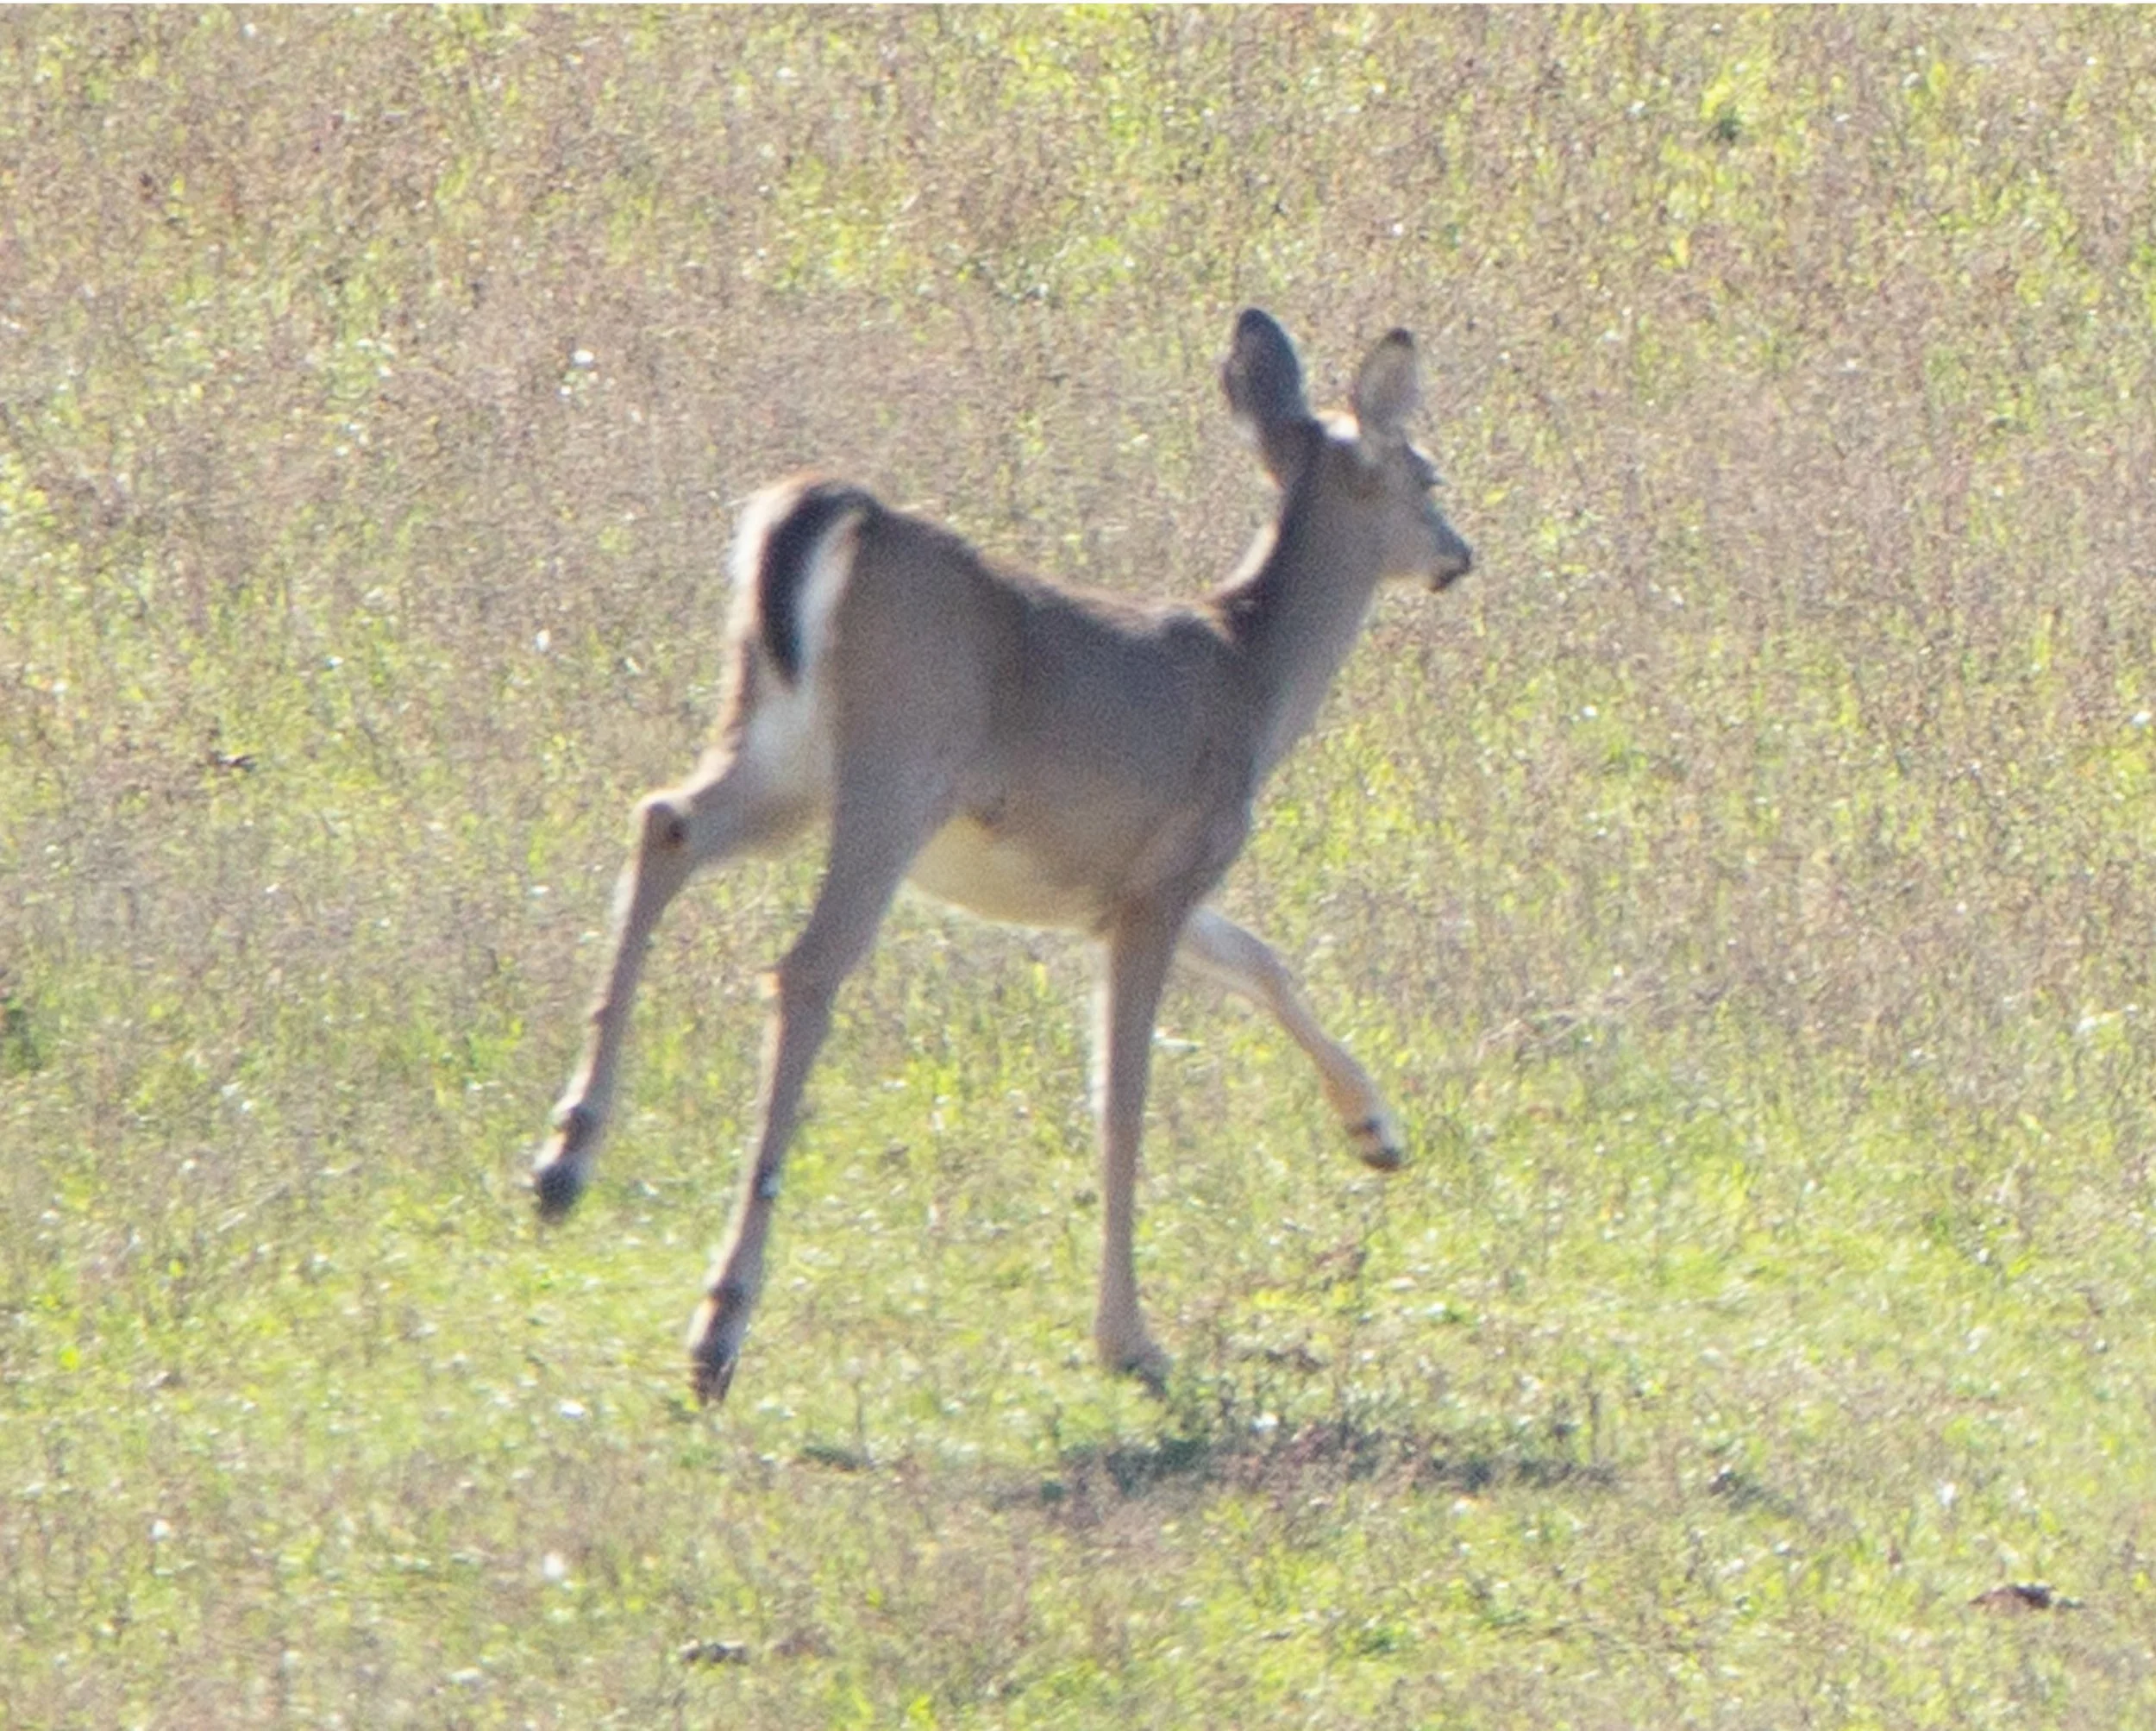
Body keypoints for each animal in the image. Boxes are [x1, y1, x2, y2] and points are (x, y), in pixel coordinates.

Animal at [531, 309, 1473, 1406]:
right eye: (1427, 474)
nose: (1458, 555)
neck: (1253, 677)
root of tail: (842, 519)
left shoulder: (1126, 884)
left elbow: (1260, 959)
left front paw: (1375, 1133)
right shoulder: (1166, 873)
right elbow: (1123, 1099)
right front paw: (1127, 1337)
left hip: (779, 760)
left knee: (664, 821)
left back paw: (563, 1163)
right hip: (896, 770)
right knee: (805, 968)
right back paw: (718, 1326)